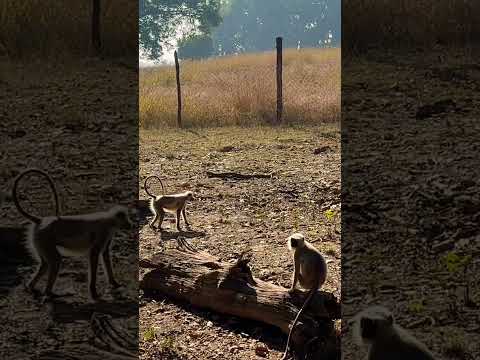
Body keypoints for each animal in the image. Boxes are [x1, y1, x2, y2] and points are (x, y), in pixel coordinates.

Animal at [13, 169, 133, 300]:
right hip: (44, 238)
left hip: (38, 240)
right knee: (55, 261)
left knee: (45, 265)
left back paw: (31, 287)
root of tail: (41, 221)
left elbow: (105, 254)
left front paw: (114, 283)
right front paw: (93, 292)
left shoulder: (109, 233)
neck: (110, 220)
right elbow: (94, 254)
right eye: (125, 219)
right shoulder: (104, 231)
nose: (130, 224)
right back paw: (49, 293)